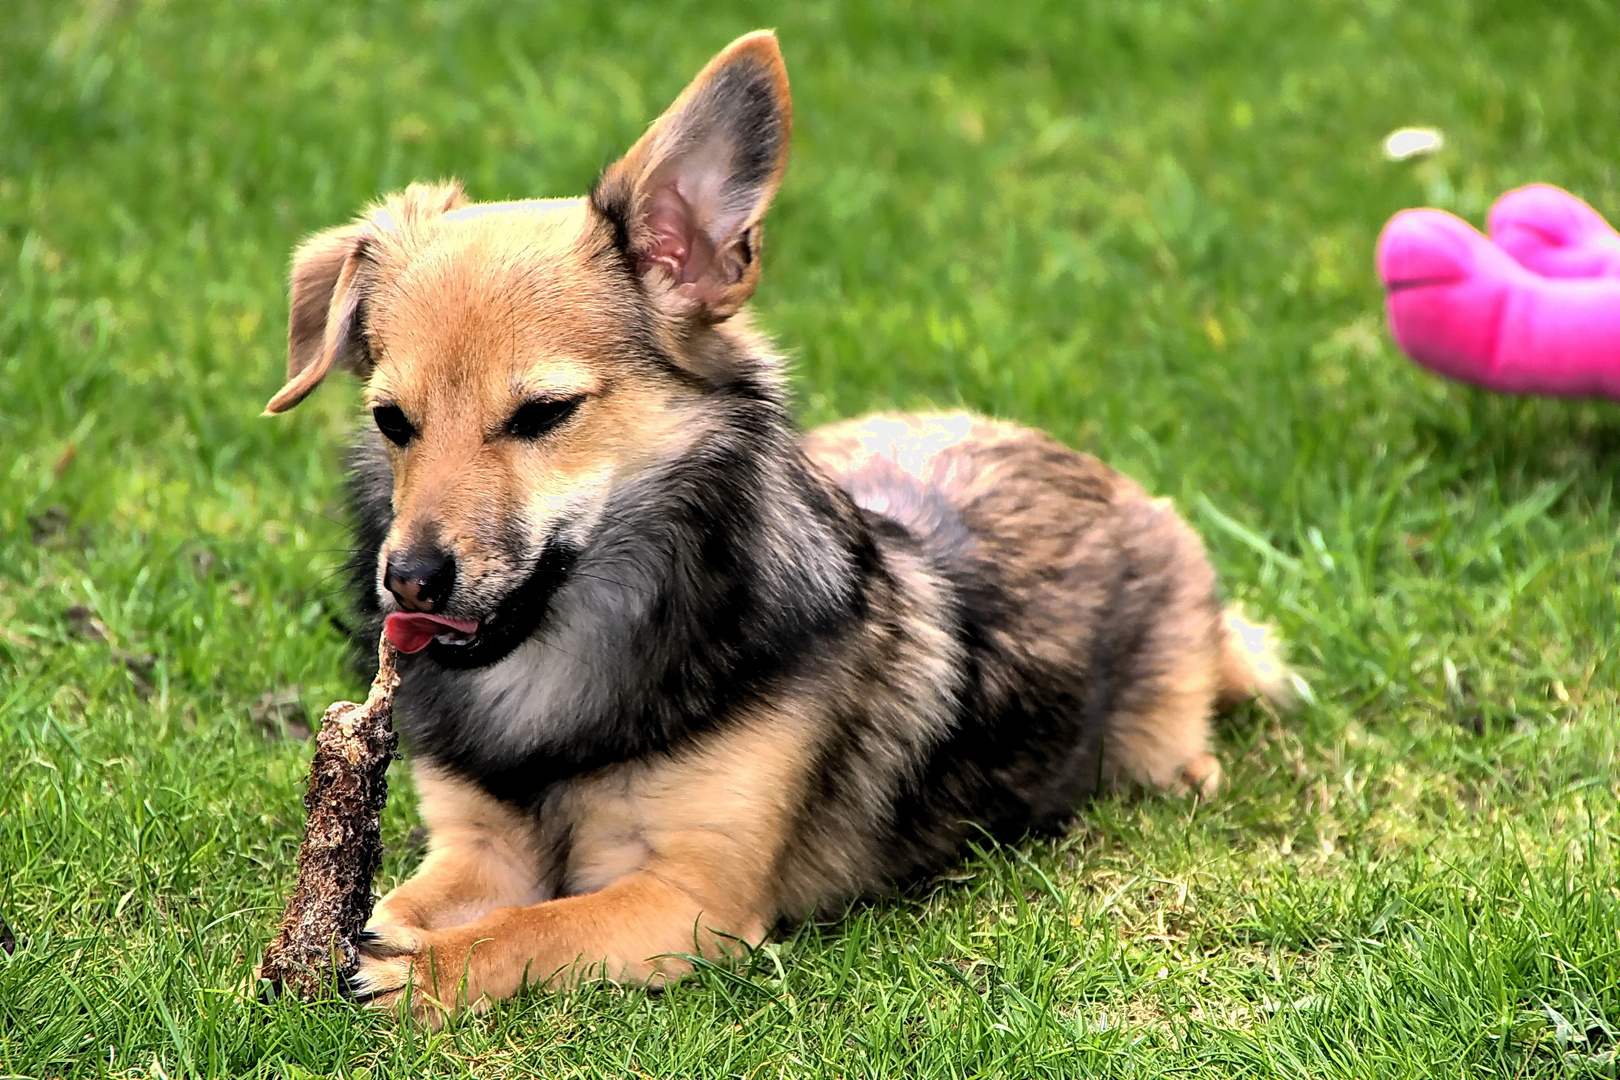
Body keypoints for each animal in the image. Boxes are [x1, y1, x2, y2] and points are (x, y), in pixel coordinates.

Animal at [262, 29, 1289, 1029]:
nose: (409, 580)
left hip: (1158, 742)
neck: (568, 662)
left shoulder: (692, 900)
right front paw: (336, 940)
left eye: (543, 415)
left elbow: (535, 928)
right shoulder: (480, 849)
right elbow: (409, 899)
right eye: (392, 422)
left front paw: (426, 972)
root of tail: (1104, 475)